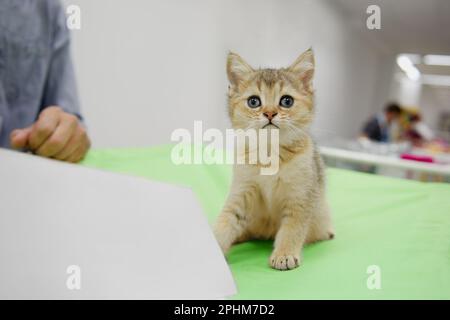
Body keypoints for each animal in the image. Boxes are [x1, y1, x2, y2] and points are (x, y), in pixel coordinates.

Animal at [214, 48, 334, 270]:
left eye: (286, 101)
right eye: (254, 101)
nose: (269, 113)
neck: (270, 154)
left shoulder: (300, 197)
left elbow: (293, 228)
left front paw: (284, 254)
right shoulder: (241, 191)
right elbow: (226, 219)